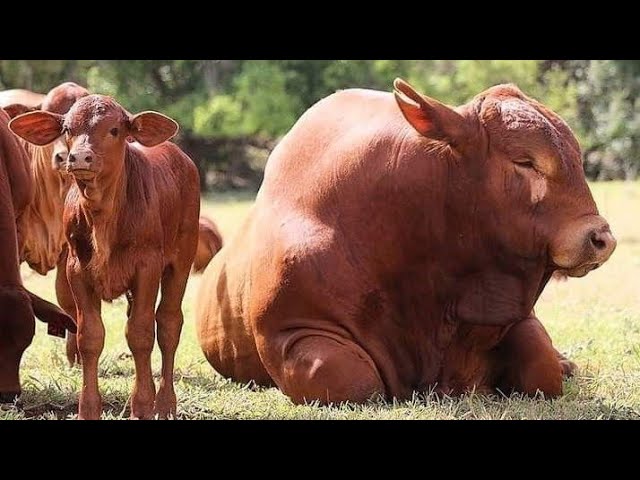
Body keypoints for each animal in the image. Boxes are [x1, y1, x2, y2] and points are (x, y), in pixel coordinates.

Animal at [10, 95, 201, 419]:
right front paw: (89, 408)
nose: (79, 157)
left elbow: (140, 333)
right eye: (68, 129)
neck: (104, 216)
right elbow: (90, 337)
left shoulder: (147, 267)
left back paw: (164, 403)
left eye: (114, 130)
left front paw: (142, 407)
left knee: (168, 323)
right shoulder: (77, 270)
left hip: (181, 260)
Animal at [195, 79, 616, 405]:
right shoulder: (292, 331)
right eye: (525, 162)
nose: (601, 237)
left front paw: (556, 363)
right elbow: (355, 382)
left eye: (577, 158)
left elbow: (542, 368)